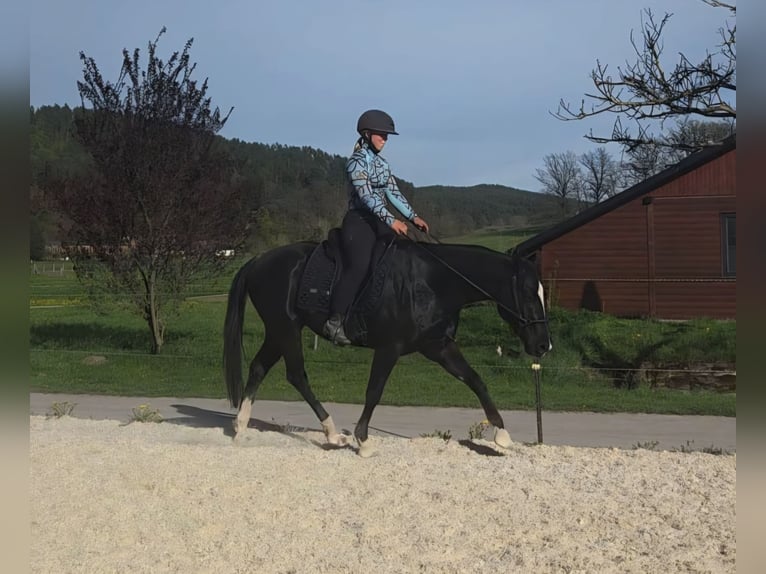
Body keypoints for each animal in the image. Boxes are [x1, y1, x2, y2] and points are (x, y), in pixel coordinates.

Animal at [223, 237, 552, 457]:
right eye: (528, 293)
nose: (543, 345)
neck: (433, 282)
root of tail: (258, 261)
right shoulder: (389, 348)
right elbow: (374, 391)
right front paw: (363, 441)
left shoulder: (439, 347)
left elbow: (475, 380)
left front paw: (502, 434)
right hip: (287, 329)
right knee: (296, 375)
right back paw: (332, 433)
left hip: (278, 331)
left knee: (259, 368)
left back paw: (241, 429)